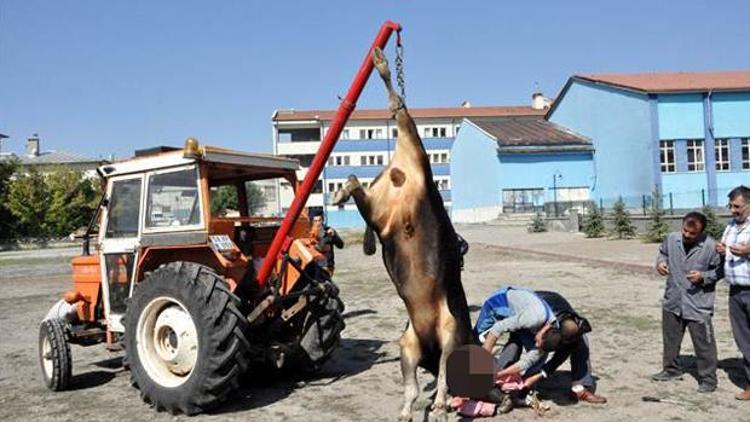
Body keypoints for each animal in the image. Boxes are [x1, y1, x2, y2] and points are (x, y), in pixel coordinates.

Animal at [332, 47, 472, 420]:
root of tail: (403, 169)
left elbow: (425, 384)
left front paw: (431, 405)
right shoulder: (448, 339)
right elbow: (439, 380)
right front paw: (440, 405)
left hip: (383, 216)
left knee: (358, 180)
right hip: (416, 161)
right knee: (400, 108)